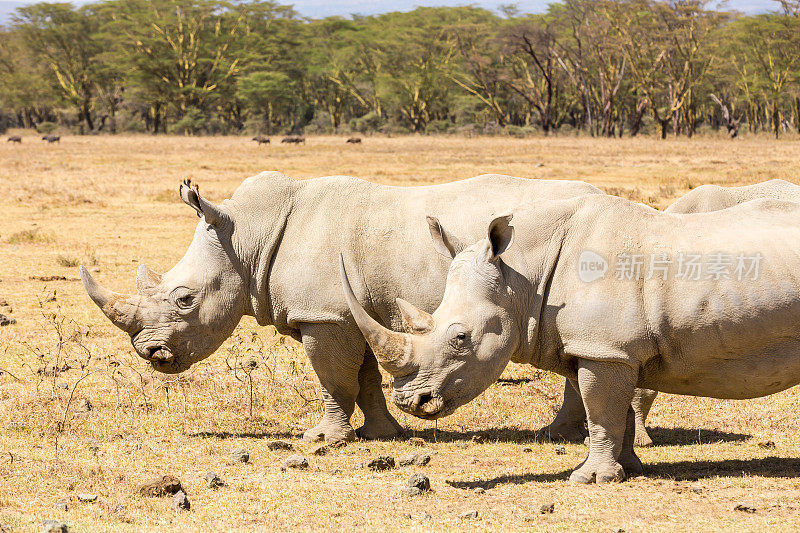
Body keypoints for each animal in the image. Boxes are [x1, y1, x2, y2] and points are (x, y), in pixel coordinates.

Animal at [79, 172, 600, 442]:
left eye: (184, 299)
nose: (150, 354)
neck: (247, 237)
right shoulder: (351, 312)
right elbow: (364, 377)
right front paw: (383, 434)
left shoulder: (323, 316)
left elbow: (333, 378)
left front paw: (322, 439)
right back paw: (560, 435)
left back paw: (561, 436)